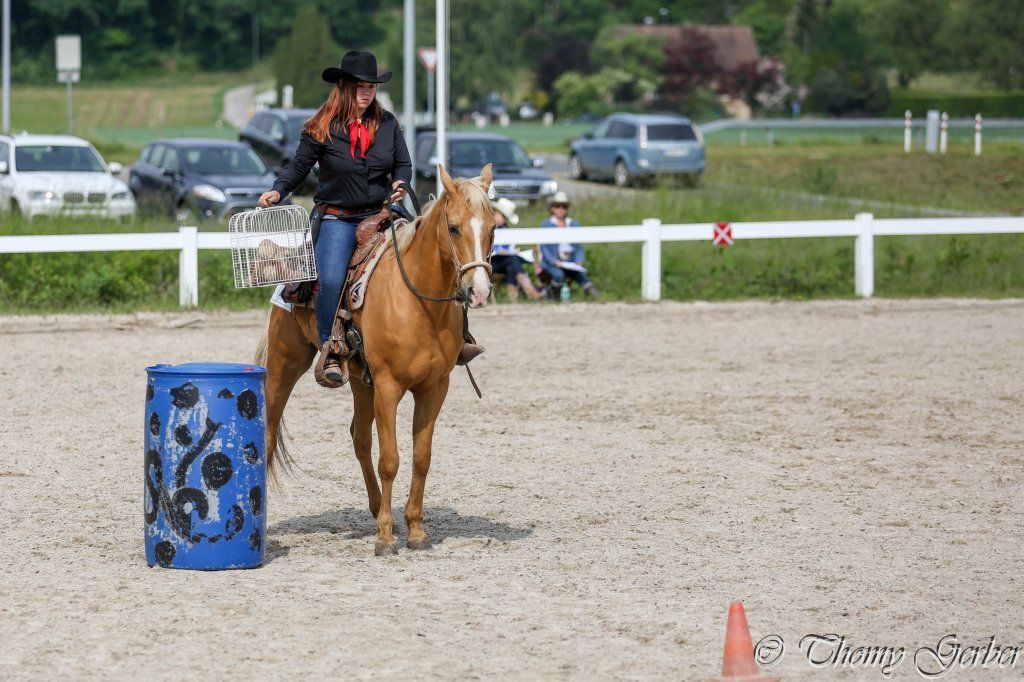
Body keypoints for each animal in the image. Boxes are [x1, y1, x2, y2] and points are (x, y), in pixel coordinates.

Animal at [255, 163, 496, 556]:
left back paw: (374, 506)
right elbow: (390, 460)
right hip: (285, 362)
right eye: (454, 227)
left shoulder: (434, 388)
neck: (418, 303)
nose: (479, 292)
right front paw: (386, 537)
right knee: (269, 434)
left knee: (359, 438)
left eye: (493, 229)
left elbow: (421, 458)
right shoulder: (388, 386)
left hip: (358, 379)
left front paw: (415, 531)